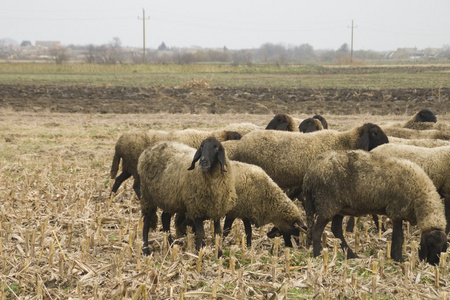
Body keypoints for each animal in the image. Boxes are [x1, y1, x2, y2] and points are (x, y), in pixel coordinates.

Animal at [302, 150, 446, 264]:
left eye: (444, 248)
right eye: (430, 244)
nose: (434, 264)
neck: (419, 196)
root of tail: (309, 175)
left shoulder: (396, 212)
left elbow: (396, 237)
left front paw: (394, 257)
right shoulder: (397, 209)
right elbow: (399, 238)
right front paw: (399, 259)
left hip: (338, 207)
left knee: (336, 229)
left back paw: (351, 255)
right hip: (327, 204)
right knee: (317, 231)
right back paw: (318, 255)